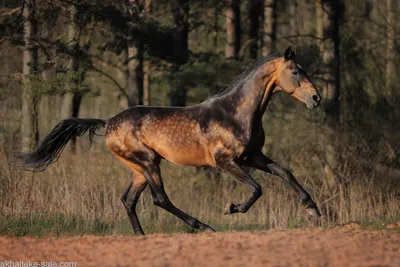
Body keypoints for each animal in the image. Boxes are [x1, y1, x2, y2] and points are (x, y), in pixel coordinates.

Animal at [21, 47, 322, 236]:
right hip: (148, 162)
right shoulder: (226, 162)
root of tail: (107, 123)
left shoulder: (252, 156)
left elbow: (285, 172)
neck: (236, 113)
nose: (316, 98)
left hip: (139, 169)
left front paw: (312, 209)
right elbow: (257, 188)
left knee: (128, 200)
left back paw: (141, 235)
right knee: (160, 199)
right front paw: (233, 208)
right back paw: (204, 227)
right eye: (296, 71)